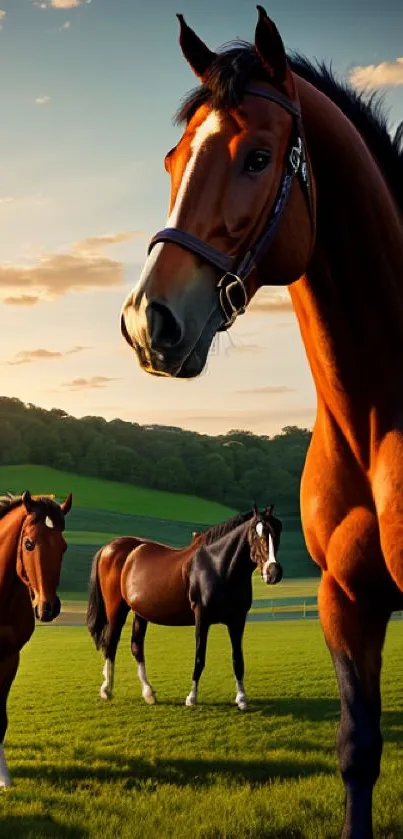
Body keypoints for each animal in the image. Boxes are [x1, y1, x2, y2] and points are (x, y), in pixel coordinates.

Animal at [87, 508, 284, 712]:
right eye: (256, 532)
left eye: (278, 530)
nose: (273, 572)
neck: (216, 565)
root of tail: (109, 547)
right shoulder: (202, 618)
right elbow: (199, 657)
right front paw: (192, 697)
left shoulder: (237, 621)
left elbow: (238, 660)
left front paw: (242, 699)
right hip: (116, 609)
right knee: (111, 643)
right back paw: (107, 690)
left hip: (140, 613)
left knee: (136, 647)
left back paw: (148, 693)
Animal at [120, 6, 403, 839]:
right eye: (173, 158)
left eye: (255, 157)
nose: (148, 322)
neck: (373, 421)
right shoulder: (344, 600)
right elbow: (357, 749)